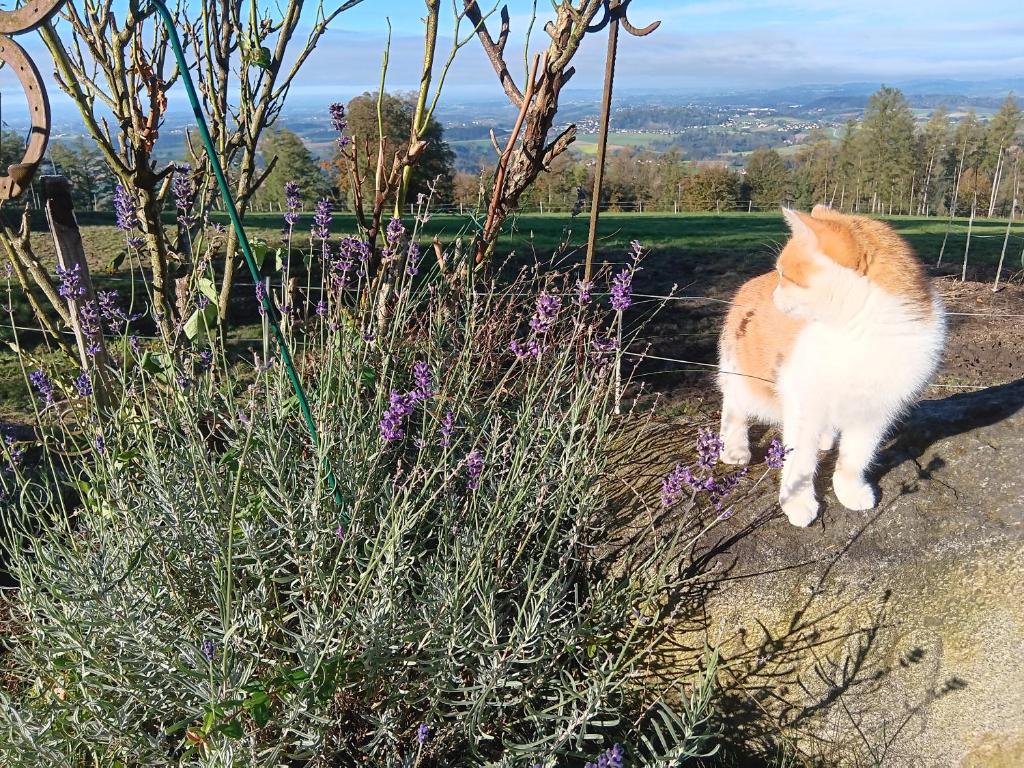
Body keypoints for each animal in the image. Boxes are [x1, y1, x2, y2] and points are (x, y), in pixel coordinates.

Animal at [716, 206, 946, 527]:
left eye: (786, 275)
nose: (774, 295)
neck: (858, 335)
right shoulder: (802, 402)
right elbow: (799, 461)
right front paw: (797, 500)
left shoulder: (878, 411)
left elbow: (855, 458)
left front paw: (849, 489)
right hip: (740, 372)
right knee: (734, 406)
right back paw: (735, 447)